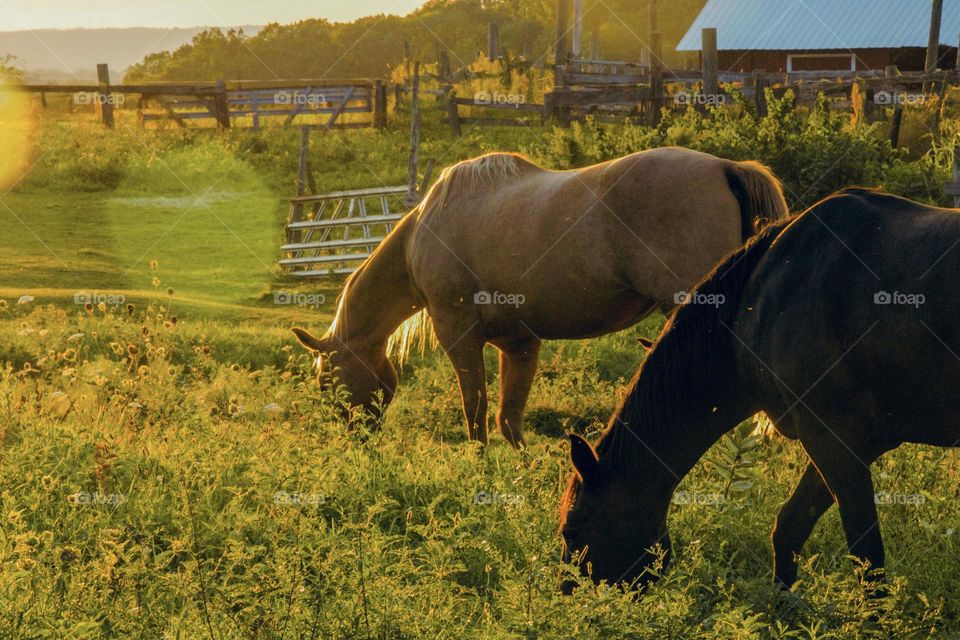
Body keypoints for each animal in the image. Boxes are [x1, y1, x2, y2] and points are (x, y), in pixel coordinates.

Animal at [292, 148, 788, 448]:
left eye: (326, 380)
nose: (357, 437)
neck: (424, 232)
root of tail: (723, 167)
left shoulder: (460, 339)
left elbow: (476, 413)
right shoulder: (520, 344)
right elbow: (509, 419)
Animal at [560, 188, 960, 592]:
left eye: (571, 532)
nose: (567, 595)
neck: (764, 297)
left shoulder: (834, 443)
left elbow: (868, 560)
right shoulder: (843, 443)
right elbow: (788, 529)